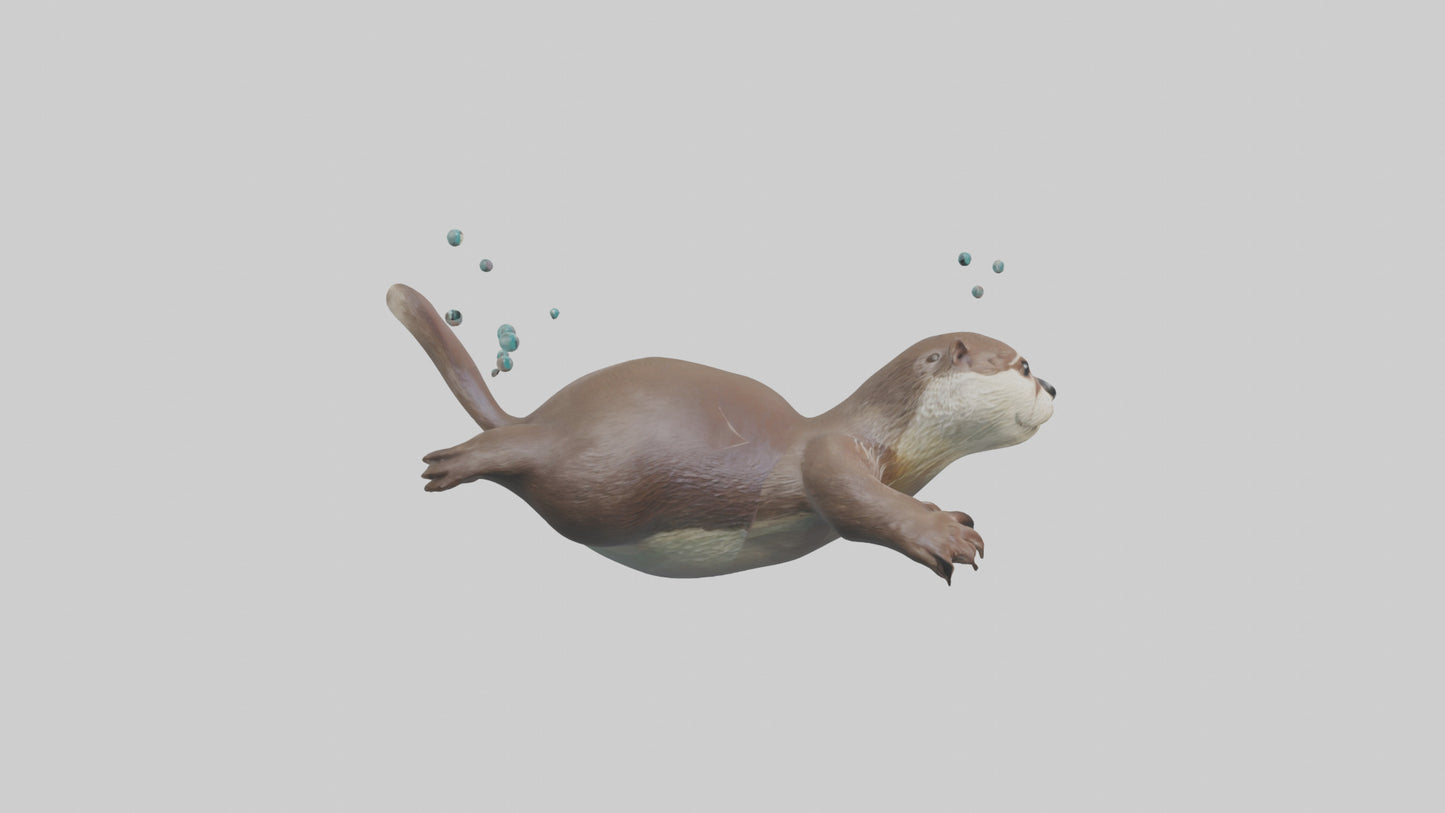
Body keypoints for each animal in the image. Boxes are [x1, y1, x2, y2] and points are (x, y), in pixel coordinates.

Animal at [387, 283, 1055, 583]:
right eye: (1023, 364)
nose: (1054, 387)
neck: (882, 432)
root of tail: (543, 416)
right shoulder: (829, 454)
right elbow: (858, 500)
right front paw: (945, 534)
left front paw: (947, 518)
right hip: (603, 474)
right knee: (521, 454)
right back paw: (449, 463)